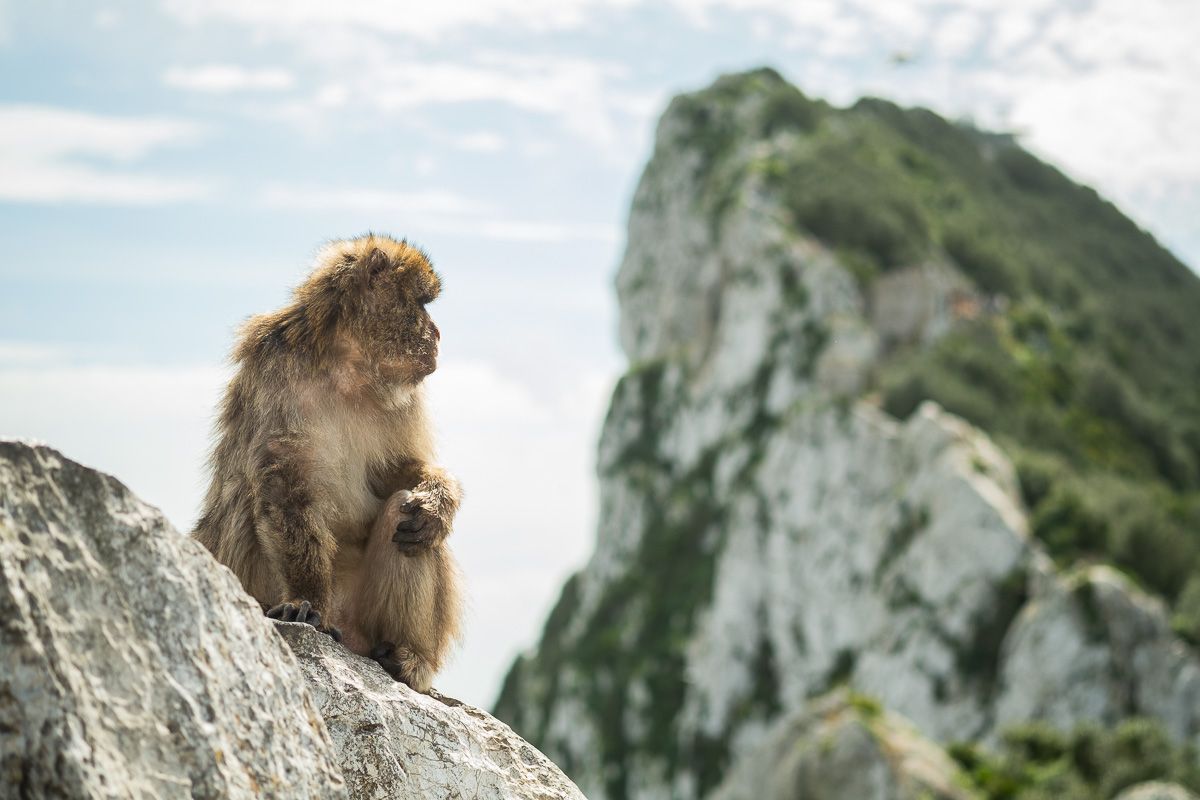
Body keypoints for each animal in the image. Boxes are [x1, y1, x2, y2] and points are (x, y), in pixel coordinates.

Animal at [193, 234, 462, 693]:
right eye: (420, 305)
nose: (438, 333)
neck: (347, 368)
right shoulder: (277, 369)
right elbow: (285, 481)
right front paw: (305, 600)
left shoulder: (403, 399)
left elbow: (396, 472)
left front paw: (438, 501)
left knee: (405, 515)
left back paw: (408, 659)